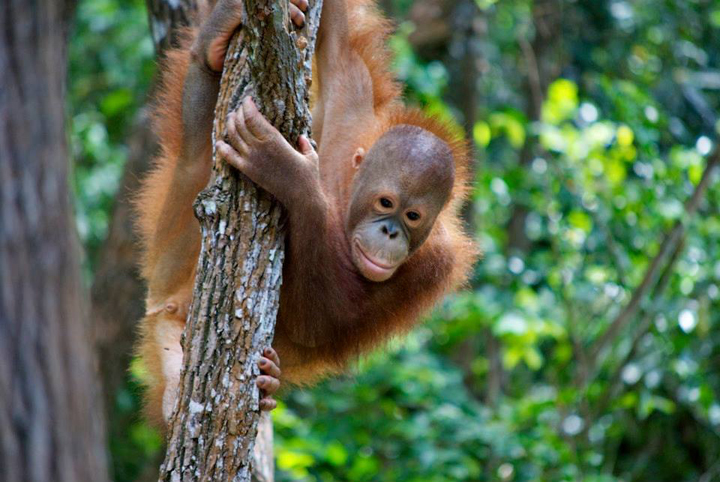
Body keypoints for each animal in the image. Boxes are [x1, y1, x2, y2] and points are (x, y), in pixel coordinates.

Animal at [134, 0, 478, 427]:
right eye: (386, 203)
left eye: (412, 217)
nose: (391, 233)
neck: (346, 198)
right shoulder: (351, 91)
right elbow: (338, 36)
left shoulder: (436, 262)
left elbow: (321, 324)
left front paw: (289, 174)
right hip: (170, 251)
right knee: (196, 161)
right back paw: (211, 46)